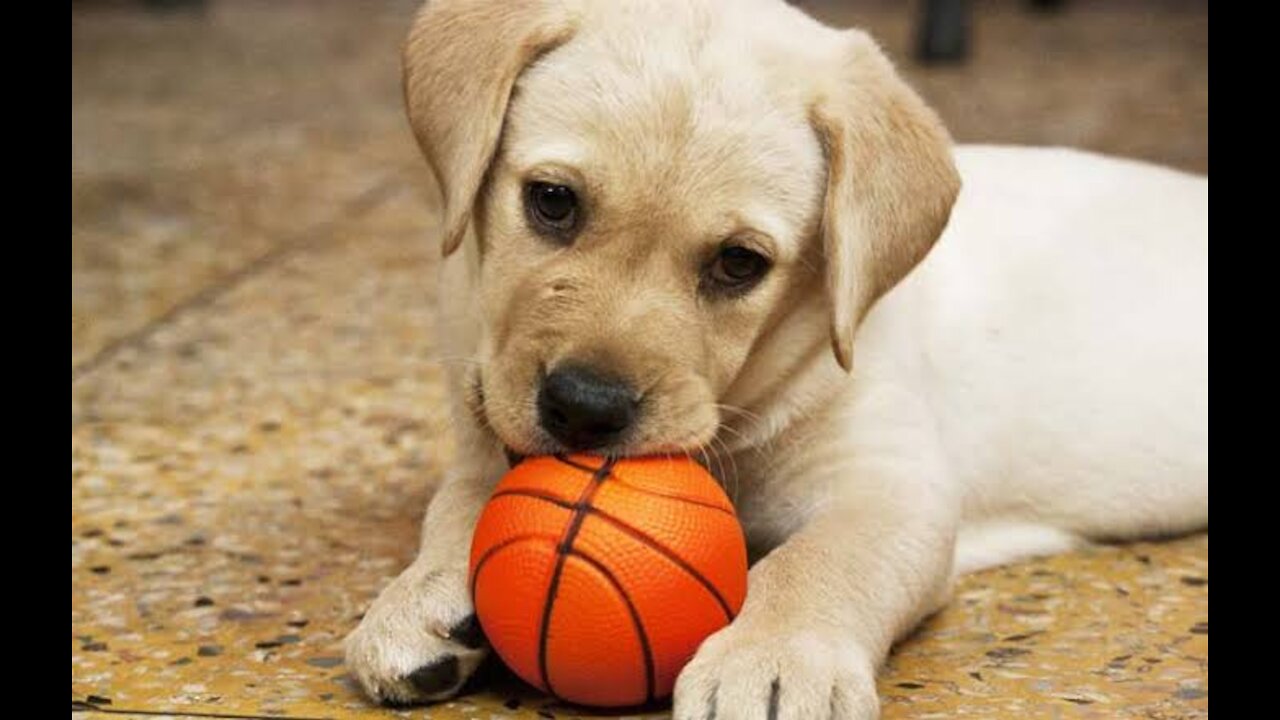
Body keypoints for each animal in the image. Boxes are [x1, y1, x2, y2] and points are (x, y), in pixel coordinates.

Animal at [345, 0, 1203, 712]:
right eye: (552, 201)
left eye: (739, 263)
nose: (585, 409)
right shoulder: (484, 411)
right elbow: (463, 503)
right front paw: (423, 598)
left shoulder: (889, 483)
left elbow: (818, 559)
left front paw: (776, 658)